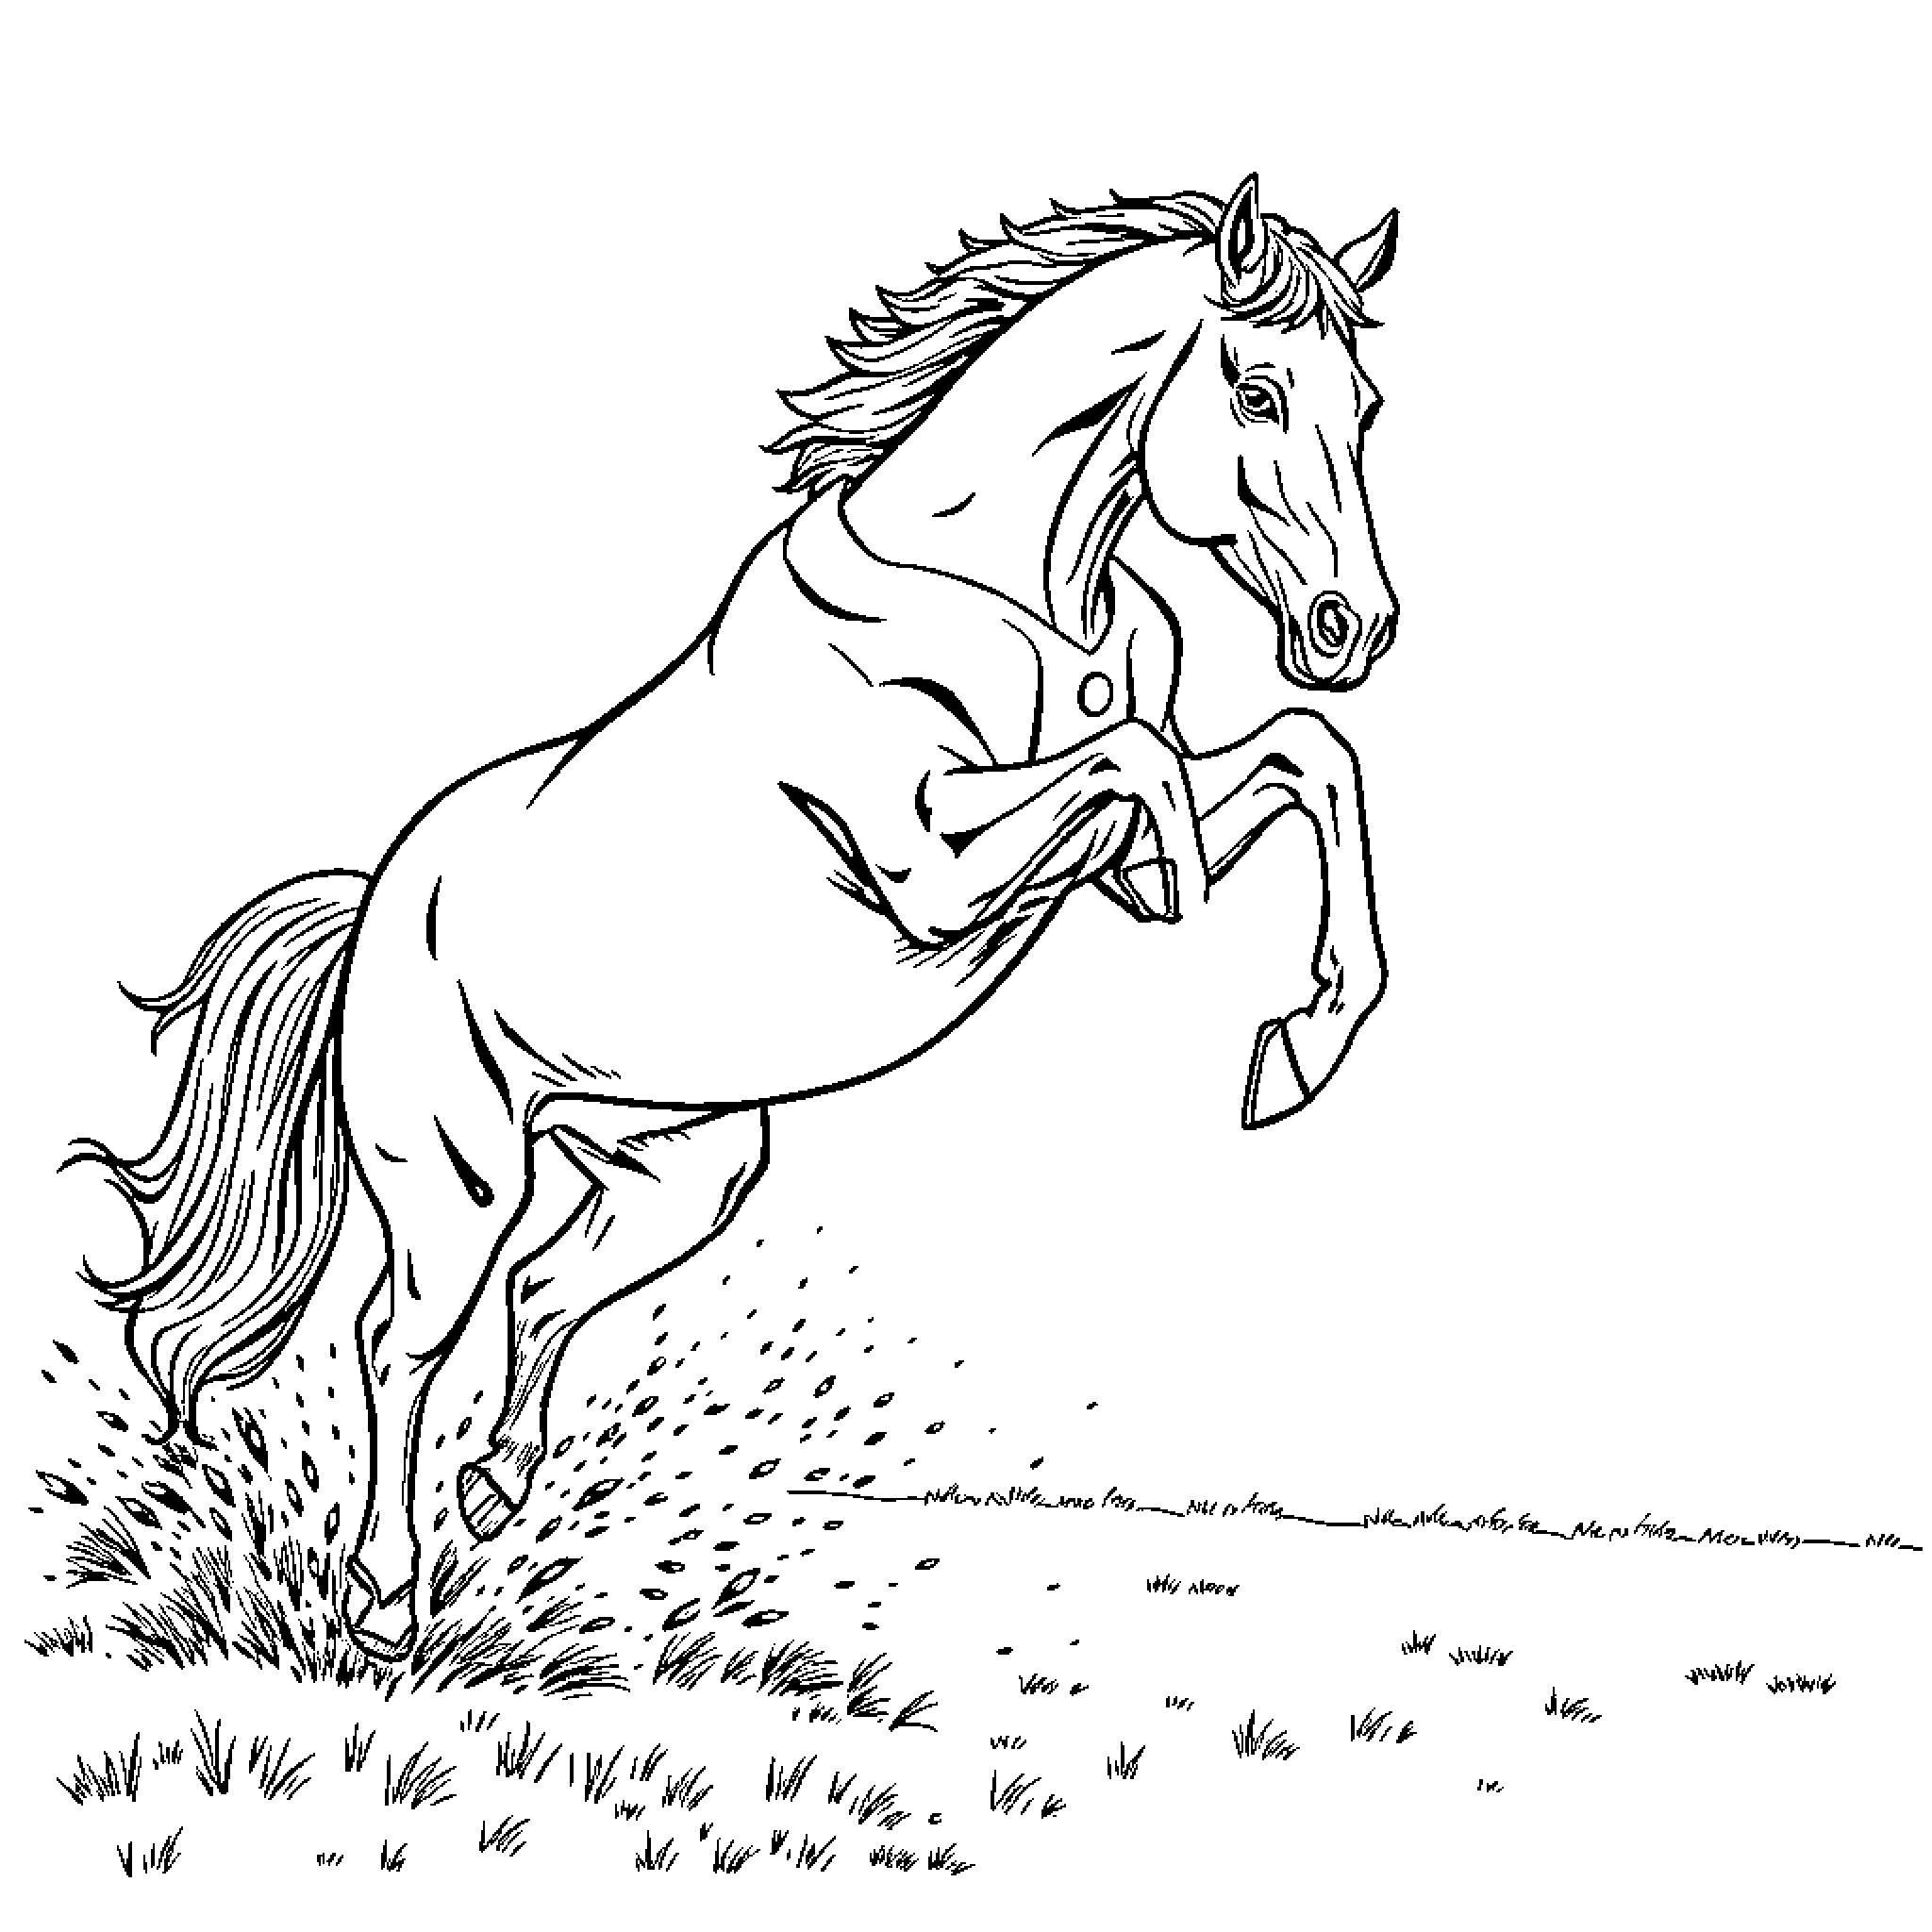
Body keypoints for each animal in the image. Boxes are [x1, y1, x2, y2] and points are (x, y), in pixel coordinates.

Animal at [73, 176, 1401, 1660]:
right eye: (1258, 392)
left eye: (1366, 406)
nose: (1355, 628)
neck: (1011, 606)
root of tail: (377, 907)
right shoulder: (935, 874)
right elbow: (1149, 768)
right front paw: (1223, 944)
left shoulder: (1093, 848)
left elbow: (1302, 759)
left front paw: (1299, 1046)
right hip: (457, 1178)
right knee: (396, 1341)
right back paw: (386, 1596)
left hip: (679, 1171)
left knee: (542, 1289)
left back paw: (497, 1486)